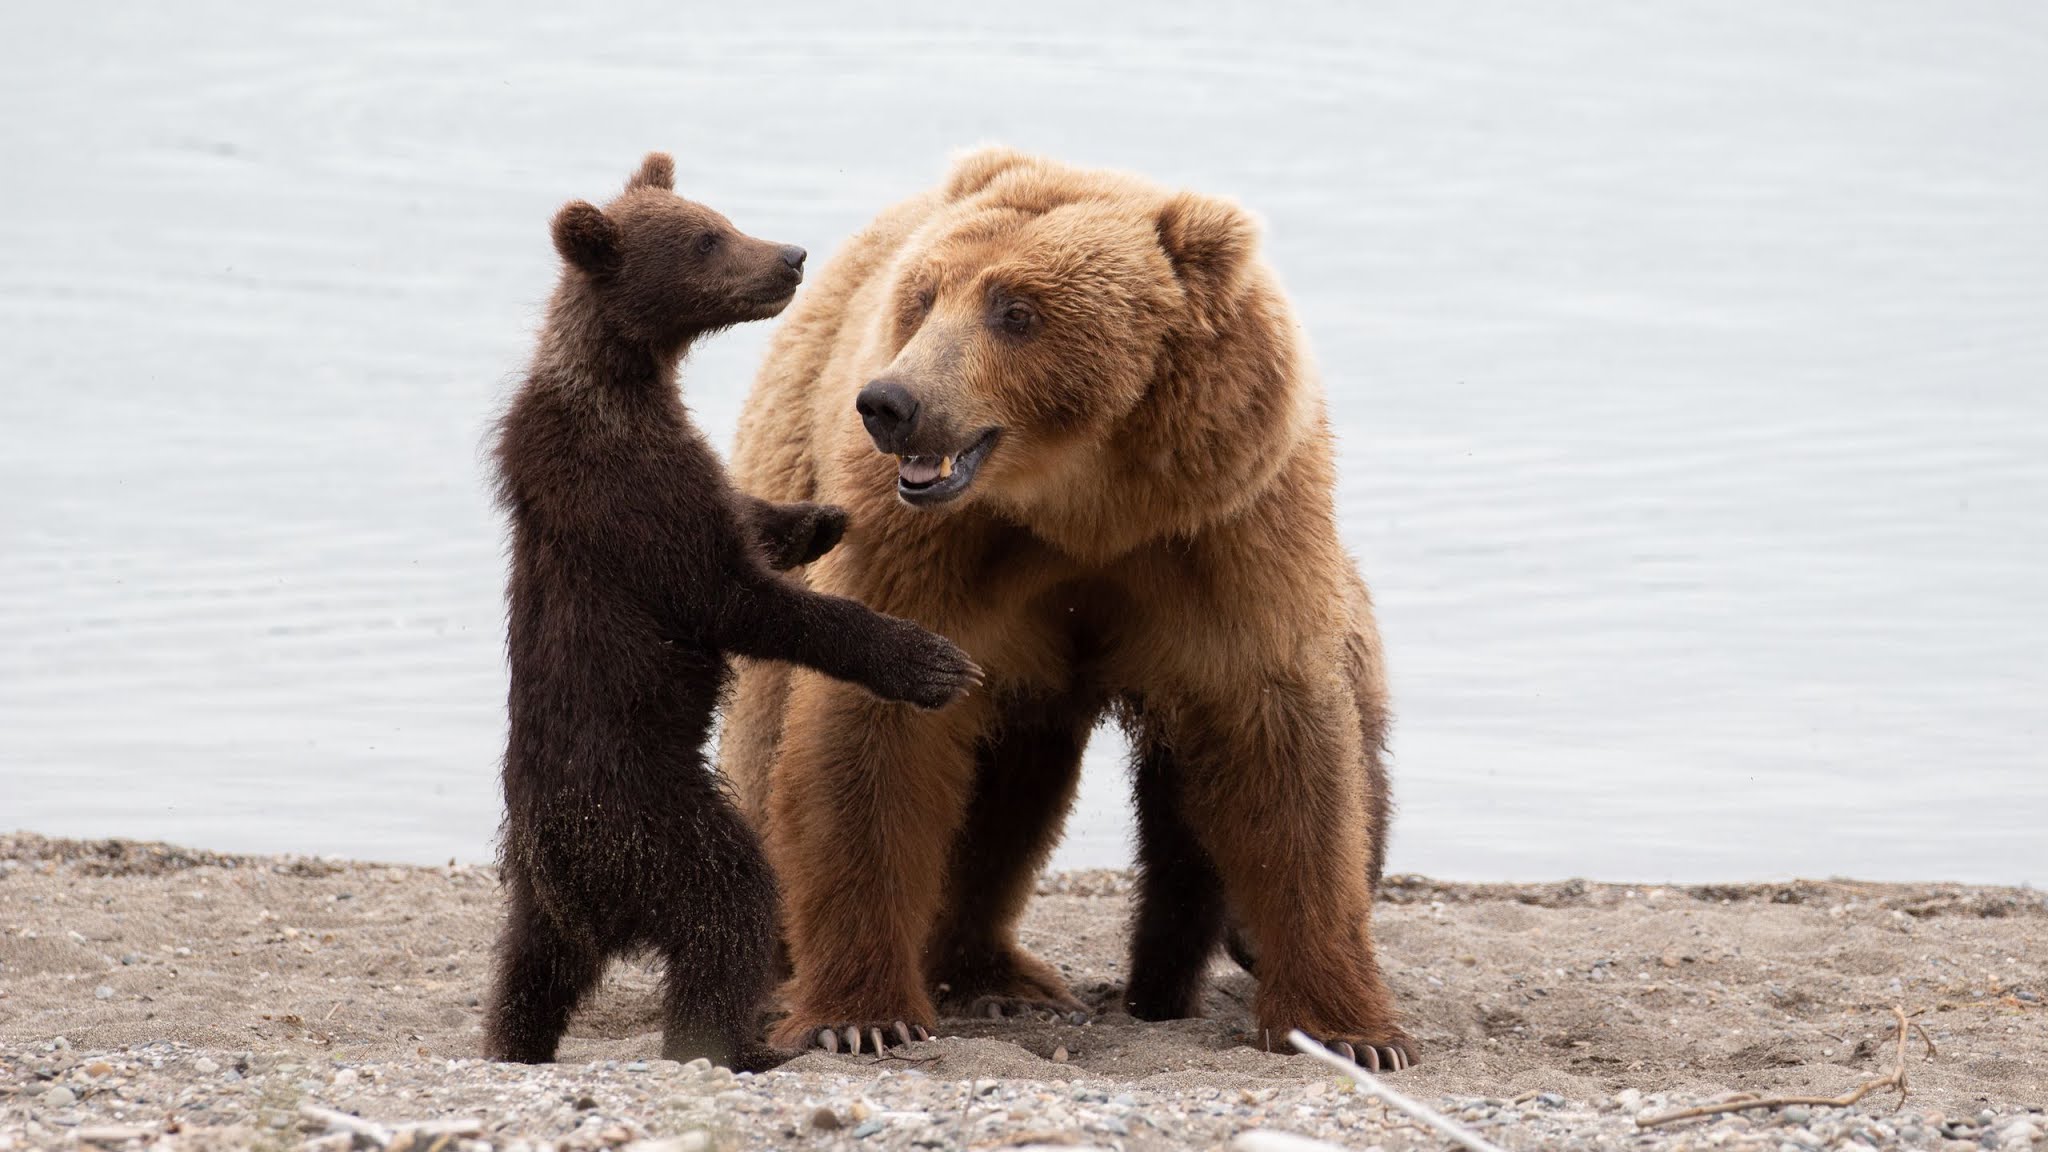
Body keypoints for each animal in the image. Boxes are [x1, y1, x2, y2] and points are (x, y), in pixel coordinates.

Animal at [485, 152, 981, 1071]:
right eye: (706, 241)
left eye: (716, 217)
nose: (789, 256)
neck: (625, 380)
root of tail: (578, 886)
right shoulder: (630, 497)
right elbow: (741, 601)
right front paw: (933, 661)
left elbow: (745, 523)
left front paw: (821, 516)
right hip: (647, 816)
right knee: (729, 904)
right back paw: (732, 1042)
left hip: (542, 888)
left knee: (529, 972)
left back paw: (513, 1041)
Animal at [717, 147, 1414, 1070]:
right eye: (926, 296)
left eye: (1017, 311)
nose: (891, 402)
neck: (1084, 503)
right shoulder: (927, 547)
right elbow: (874, 739)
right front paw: (863, 1015)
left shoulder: (1230, 532)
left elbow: (1281, 750)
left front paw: (1348, 1030)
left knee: (1014, 791)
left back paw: (996, 977)